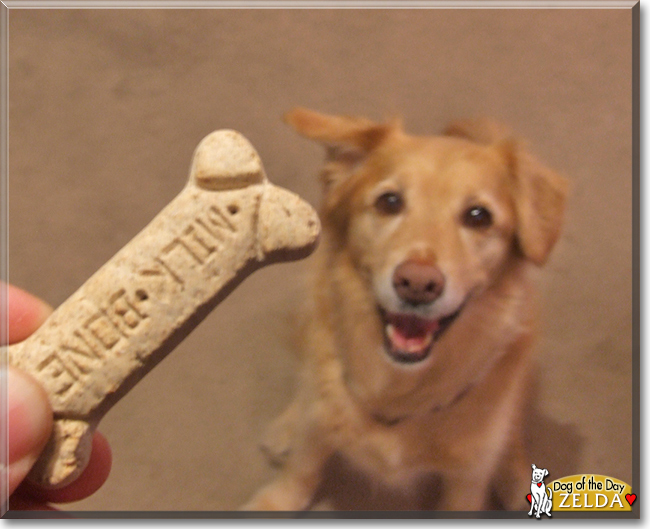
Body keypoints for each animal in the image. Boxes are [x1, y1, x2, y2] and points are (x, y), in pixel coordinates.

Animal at [240, 108, 564, 512]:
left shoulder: (467, 478)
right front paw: (277, 499)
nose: (417, 284)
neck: (400, 386)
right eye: (389, 202)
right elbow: (304, 464)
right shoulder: (320, 418)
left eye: (479, 216)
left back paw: (516, 474)